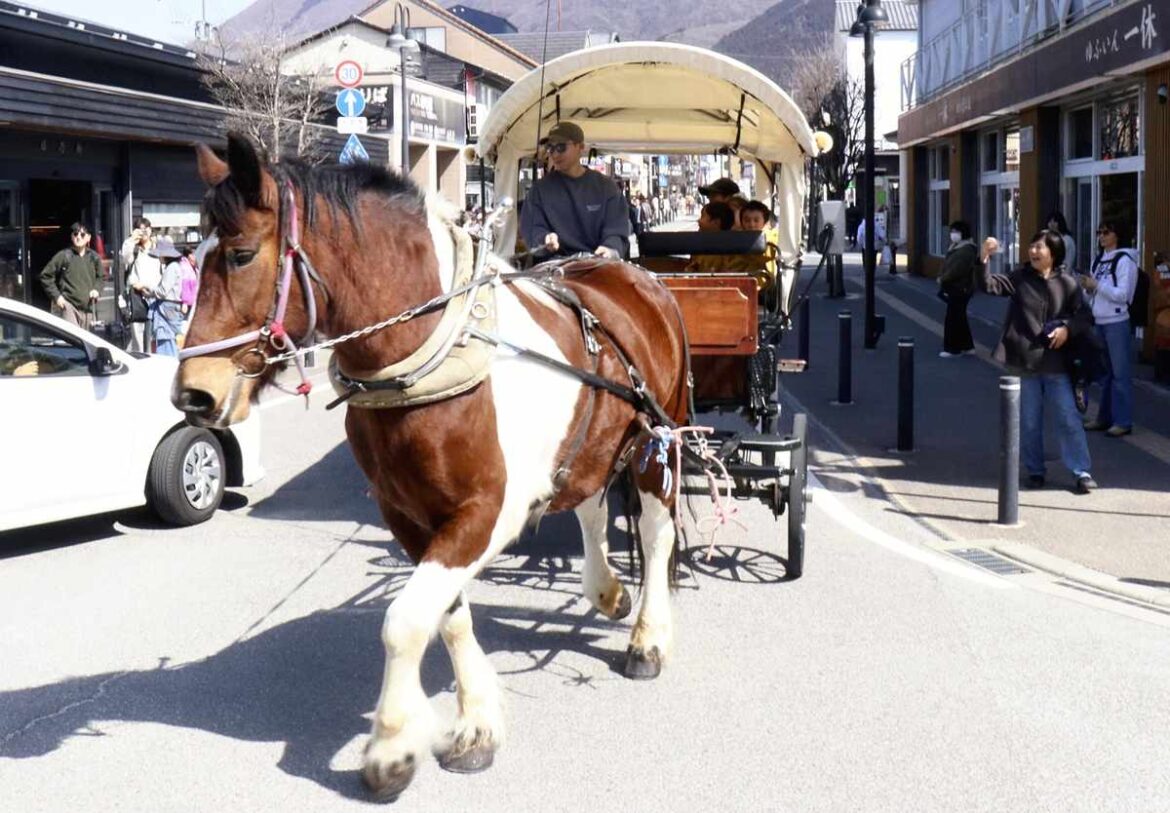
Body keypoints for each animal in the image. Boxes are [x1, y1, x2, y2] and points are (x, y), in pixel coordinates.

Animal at [172, 134, 690, 800]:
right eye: (193, 253)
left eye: (239, 255)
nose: (193, 393)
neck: (430, 353)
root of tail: (632, 275)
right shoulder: (409, 515)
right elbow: (446, 617)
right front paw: (476, 723)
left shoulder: (487, 512)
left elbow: (404, 619)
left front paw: (392, 746)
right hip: (593, 440)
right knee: (591, 505)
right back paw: (606, 592)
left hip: (660, 437)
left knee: (655, 534)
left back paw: (647, 637)